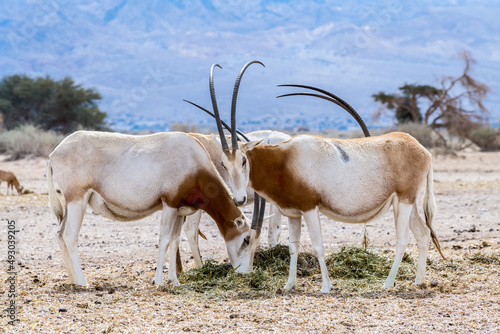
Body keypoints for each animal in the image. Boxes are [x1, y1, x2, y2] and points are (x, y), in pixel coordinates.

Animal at [46, 130, 262, 288]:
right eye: (246, 239)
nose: (245, 272)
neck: (193, 159)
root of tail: (54, 153)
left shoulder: (180, 209)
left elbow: (175, 240)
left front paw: (174, 281)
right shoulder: (169, 203)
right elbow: (165, 238)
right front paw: (159, 281)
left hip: (71, 204)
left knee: (60, 234)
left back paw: (73, 280)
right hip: (77, 200)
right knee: (69, 236)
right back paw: (83, 282)